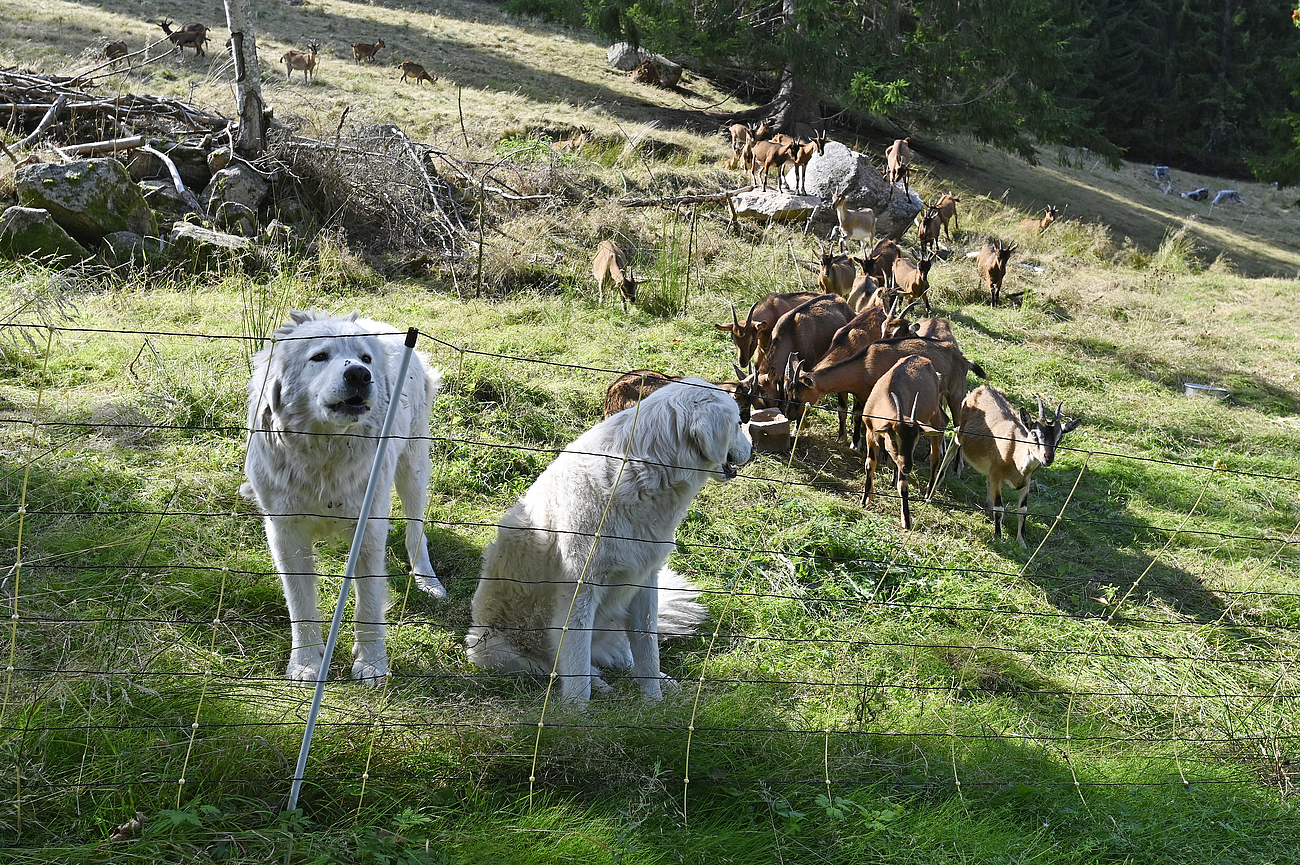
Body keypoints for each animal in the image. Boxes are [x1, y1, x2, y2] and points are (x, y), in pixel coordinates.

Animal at [243, 306, 447, 686]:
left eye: (366, 358)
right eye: (319, 356)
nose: (358, 374)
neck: (326, 454)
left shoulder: (367, 530)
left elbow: (368, 604)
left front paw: (372, 663)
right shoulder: (286, 533)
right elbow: (301, 604)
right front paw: (306, 664)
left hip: (413, 467)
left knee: (416, 531)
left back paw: (428, 581)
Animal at [467, 377, 754, 702]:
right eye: (738, 423)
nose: (753, 450)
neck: (642, 471)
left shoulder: (644, 582)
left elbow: (647, 650)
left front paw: (654, 701)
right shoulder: (580, 590)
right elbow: (576, 663)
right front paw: (576, 710)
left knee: (626, 658)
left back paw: (659, 680)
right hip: (495, 651)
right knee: (555, 666)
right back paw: (598, 683)